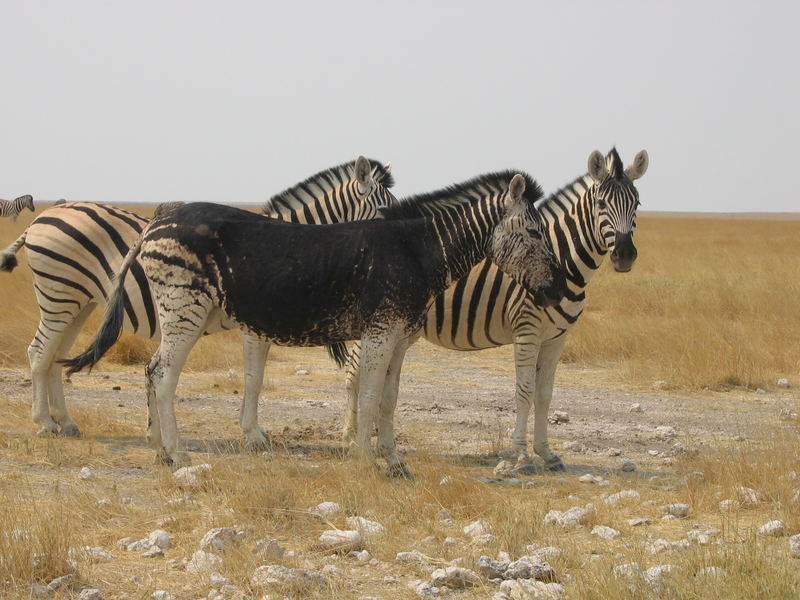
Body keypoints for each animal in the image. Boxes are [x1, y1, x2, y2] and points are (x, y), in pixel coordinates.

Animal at [65, 171, 568, 472]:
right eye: (535, 231)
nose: (558, 289)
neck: (416, 253)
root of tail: (159, 219)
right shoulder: (380, 333)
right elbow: (367, 398)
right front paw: (366, 462)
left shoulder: (402, 338)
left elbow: (389, 401)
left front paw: (394, 462)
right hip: (184, 308)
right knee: (163, 375)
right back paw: (177, 453)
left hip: (188, 311)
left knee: (153, 372)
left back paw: (161, 450)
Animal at [340, 148, 648, 472]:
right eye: (601, 204)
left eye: (637, 204)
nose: (625, 255)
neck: (565, 262)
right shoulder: (527, 330)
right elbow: (524, 392)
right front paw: (522, 455)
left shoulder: (556, 338)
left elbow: (545, 395)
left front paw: (547, 453)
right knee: (353, 375)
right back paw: (351, 441)